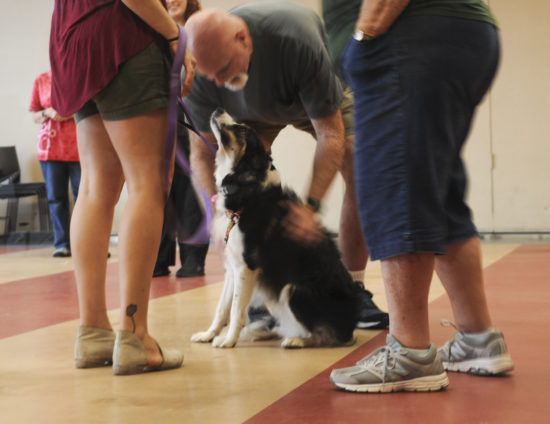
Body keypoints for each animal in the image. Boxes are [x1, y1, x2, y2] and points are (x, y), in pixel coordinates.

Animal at [192, 109, 360, 348]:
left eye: (241, 129)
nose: (218, 110)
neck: (247, 191)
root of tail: (351, 326)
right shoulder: (232, 266)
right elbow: (222, 307)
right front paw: (209, 335)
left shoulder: (246, 266)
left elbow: (235, 309)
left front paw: (229, 340)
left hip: (293, 288)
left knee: (326, 335)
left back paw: (296, 340)